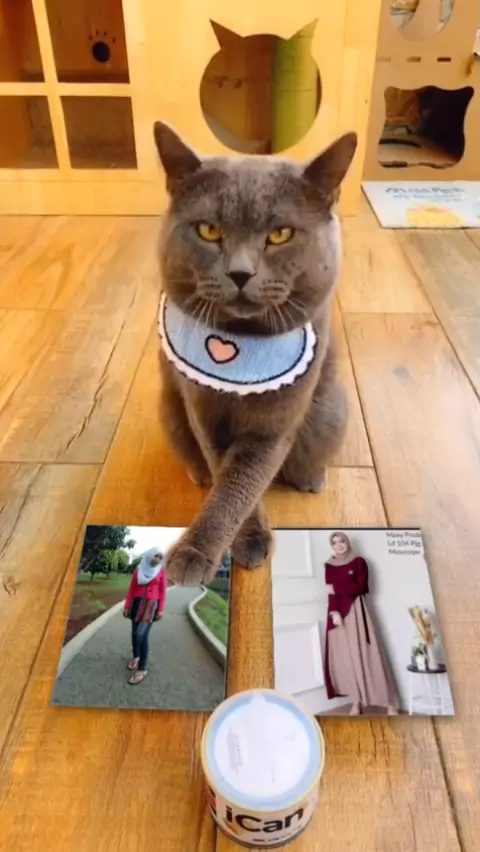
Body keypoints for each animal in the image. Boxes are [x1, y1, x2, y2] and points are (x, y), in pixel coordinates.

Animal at [154, 121, 357, 586]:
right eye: (208, 230)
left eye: (281, 234)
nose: (240, 273)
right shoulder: (201, 411)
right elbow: (227, 474)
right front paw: (221, 546)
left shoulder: (274, 424)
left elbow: (241, 482)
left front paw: (199, 551)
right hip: (170, 411)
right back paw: (198, 474)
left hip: (330, 410)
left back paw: (312, 479)